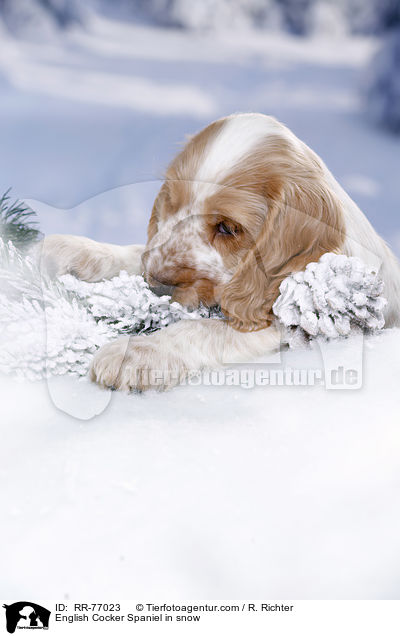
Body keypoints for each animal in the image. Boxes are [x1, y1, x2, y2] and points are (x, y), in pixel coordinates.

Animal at [40, 112, 400, 390]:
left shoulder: (294, 326)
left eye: (228, 227)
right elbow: (135, 252)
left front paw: (137, 352)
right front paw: (71, 250)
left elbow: (205, 328)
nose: (156, 286)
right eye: (172, 203)